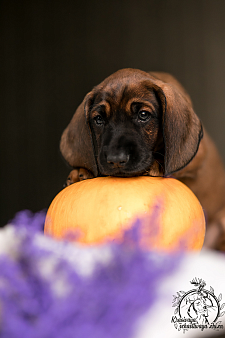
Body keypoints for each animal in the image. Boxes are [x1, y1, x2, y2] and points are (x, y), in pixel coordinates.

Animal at [60, 68, 225, 251]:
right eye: (98, 119)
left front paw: (155, 166)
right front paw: (79, 173)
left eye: (143, 115)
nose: (116, 160)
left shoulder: (197, 158)